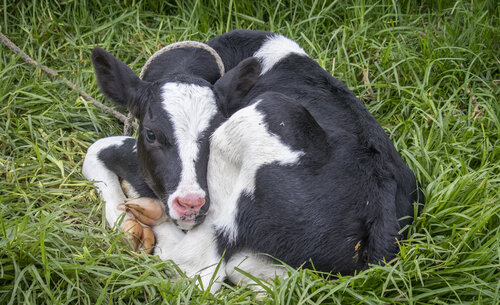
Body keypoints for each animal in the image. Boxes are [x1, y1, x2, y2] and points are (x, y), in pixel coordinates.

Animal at [82, 29, 422, 290]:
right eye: (151, 133)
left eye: (214, 127)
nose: (190, 202)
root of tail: (379, 230)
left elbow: (97, 149)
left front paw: (128, 221)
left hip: (267, 114)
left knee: (198, 268)